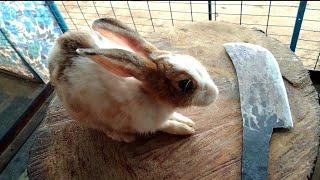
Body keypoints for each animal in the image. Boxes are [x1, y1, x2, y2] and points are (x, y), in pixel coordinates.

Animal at [47, 17, 219, 142]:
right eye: (185, 84)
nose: (215, 94)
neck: (150, 95)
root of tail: (55, 51)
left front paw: (187, 121)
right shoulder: (146, 122)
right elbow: (166, 125)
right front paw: (185, 129)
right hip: (87, 114)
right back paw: (125, 137)